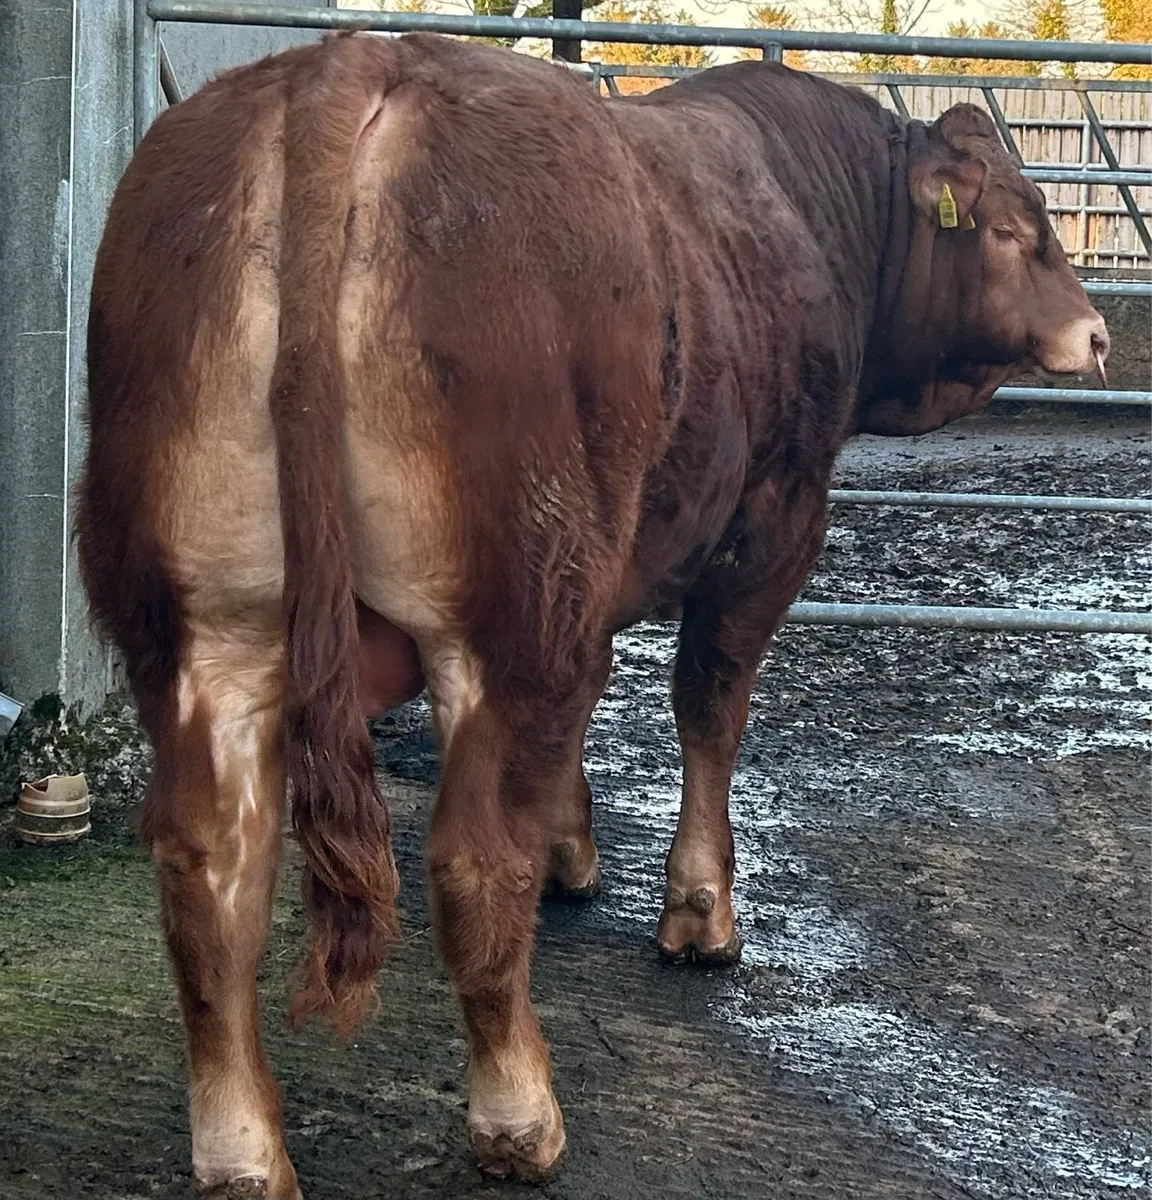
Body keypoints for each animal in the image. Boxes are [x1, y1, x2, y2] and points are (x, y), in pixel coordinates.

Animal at [76, 31, 1108, 1198]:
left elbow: (598, 698)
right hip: (511, 600)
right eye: (1016, 229)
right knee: (472, 859)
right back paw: (519, 1113)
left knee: (210, 869)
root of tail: (355, 60)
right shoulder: (773, 521)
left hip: (200, 626)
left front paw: (576, 846)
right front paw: (699, 912)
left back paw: (242, 1151)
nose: (1098, 334)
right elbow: (709, 704)